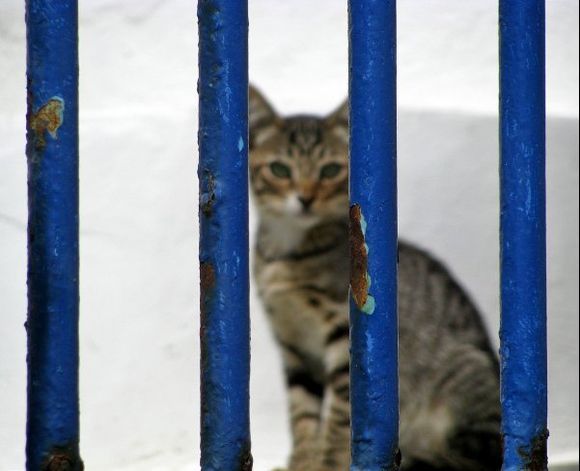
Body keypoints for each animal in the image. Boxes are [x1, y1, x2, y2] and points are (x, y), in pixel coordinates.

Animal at [249, 86, 502, 470]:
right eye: (279, 169)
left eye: (330, 170)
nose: (305, 198)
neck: (287, 252)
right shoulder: (292, 344)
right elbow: (302, 413)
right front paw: (302, 462)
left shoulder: (341, 333)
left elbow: (339, 417)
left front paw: (327, 463)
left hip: (464, 377)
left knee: (472, 452)